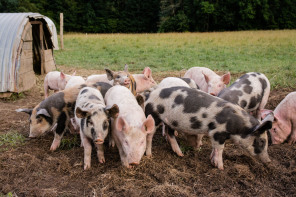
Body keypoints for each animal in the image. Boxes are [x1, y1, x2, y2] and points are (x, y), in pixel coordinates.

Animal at [145, 87, 274, 170]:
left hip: (170, 121)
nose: (268, 161)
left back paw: (180, 154)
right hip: (153, 116)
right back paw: (149, 155)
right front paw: (221, 168)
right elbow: (220, 149)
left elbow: (215, 148)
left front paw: (212, 162)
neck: (238, 127)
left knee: (169, 133)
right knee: (150, 136)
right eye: (261, 141)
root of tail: (149, 94)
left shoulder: (215, 135)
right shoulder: (218, 131)